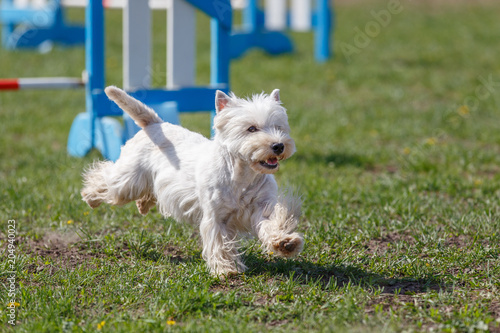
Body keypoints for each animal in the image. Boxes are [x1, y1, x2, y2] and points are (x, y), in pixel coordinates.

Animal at [81, 86, 304, 274]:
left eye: (279, 127)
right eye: (251, 129)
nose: (278, 146)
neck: (243, 176)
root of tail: (156, 123)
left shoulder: (261, 208)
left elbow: (272, 224)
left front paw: (286, 243)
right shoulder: (216, 216)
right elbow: (219, 243)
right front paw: (227, 269)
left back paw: (142, 205)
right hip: (128, 180)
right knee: (105, 179)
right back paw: (89, 198)